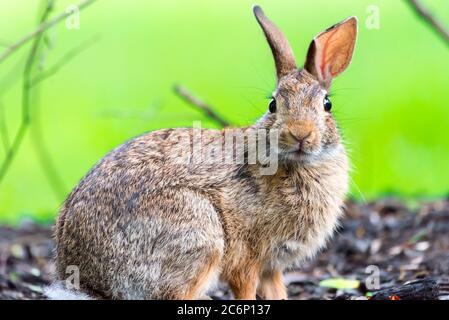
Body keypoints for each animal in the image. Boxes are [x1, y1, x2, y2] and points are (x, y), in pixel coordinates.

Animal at [49, 5, 356, 300]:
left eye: (326, 105)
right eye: (273, 105)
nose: (300, 134)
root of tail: (88, 283)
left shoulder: (272, 267)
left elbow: (276, 291)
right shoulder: (246, 256)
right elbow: (245, 288)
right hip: (198, 230)